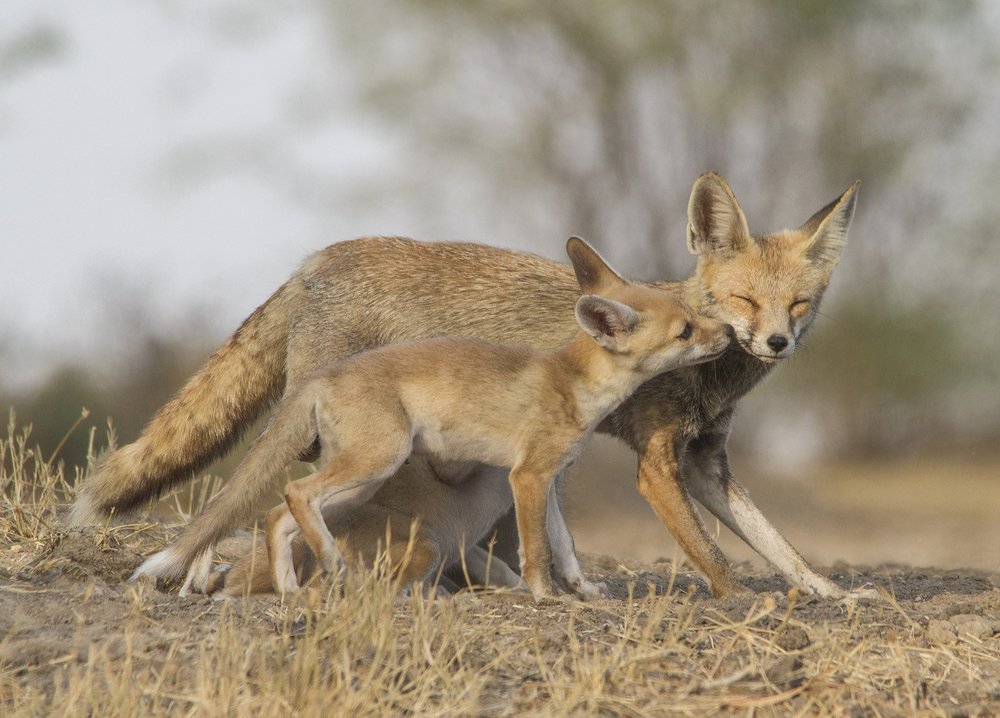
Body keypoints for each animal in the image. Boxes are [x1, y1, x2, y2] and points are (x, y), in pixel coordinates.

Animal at [133, 237, 734, 598]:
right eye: (685, 330)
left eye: (696, 317)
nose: (728, 333)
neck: (573, 384)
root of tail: (322, 377)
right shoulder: (527, 476)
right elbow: (536, 552)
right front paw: (543, 597)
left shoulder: (549, 479)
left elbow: (564, 549)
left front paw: (583, 592)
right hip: (375, 461)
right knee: (296, 496)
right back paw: (331, 570)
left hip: (359, 480)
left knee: (279, 514)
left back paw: (290, 589)